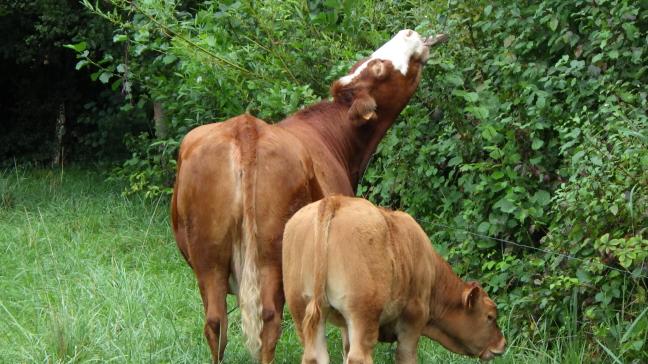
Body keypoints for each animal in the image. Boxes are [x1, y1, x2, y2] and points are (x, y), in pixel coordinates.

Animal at [170, 29, 448, 362]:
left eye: (368, 61)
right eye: (378, 67)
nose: (407, 32)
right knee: (269, 317)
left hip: (207, 253)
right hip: (272, 253)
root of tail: (246, 127)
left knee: (216, 322)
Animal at [282, 196, 506, 364]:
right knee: (359, 357)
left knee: (314, 356)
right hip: (363, 315)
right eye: (490, 316)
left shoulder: (345, 325)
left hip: (301, 310)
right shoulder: (413, 320)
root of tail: (333, 200)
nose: (502, 343)